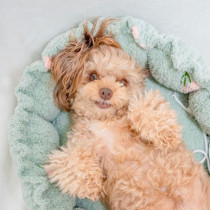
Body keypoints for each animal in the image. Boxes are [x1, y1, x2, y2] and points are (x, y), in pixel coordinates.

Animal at [44, 18, 210, 209]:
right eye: (92, 76)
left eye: (123, 82)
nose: (106, 92)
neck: (104, 122)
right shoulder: (78, 145)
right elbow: (70, 161)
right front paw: (92, 185)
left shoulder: (143, 107)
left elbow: (144, 108)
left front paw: (167, 135)